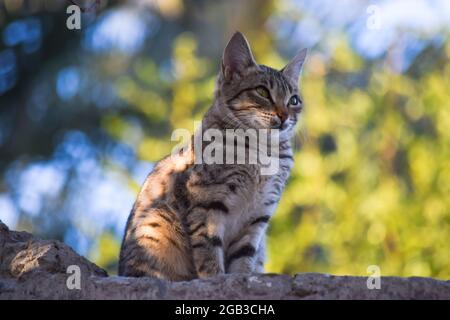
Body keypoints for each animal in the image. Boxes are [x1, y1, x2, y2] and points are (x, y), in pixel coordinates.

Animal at [118, 31, 308, 280]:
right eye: (262, 91)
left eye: (294, 100)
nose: (285, 116)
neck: (264, 150)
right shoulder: (207, 203)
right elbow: (208, 251)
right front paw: (216, 278)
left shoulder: (259, 215)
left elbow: (244, 258)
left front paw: (242, 278)